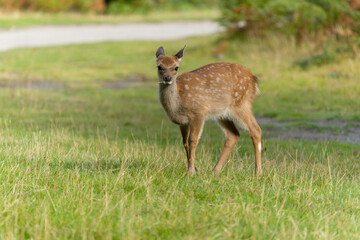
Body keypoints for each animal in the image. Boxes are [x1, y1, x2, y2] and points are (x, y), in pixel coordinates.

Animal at [155, 46, 262, 175]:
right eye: (159, 66)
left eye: (176, 67)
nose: (167, 78)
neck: (177, 103)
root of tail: (253, 79)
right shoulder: (183, 122)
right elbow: (185, 143)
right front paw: (194, 168)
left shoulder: (199, 112)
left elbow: (193, 141)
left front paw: (191, 170)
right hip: (222, 113)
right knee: (233, 134)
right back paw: (215, 170)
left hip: (240, 104)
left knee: (256, 129)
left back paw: (258, 172)